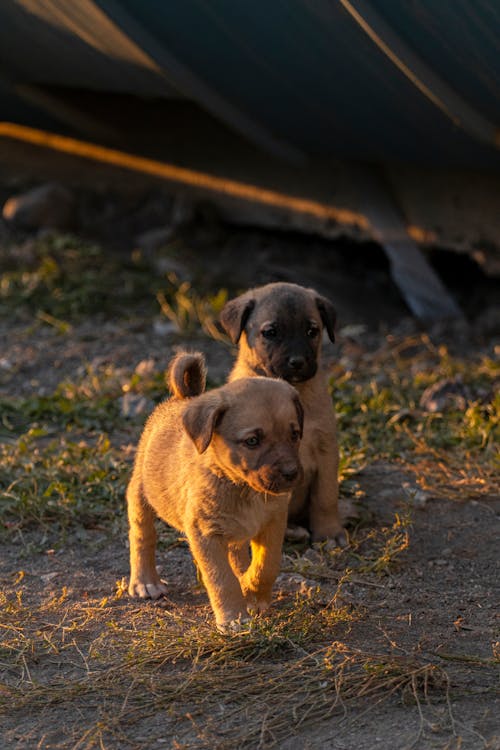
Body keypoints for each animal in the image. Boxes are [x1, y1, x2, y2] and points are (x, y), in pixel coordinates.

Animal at [127, 354, 302, 636]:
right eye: (252, 441)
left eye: (294, 434)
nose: (291, 473)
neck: (241, 487)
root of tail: (183, 398)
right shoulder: (205, 533)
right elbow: (222, 579)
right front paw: (234, 617)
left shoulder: (274, 522)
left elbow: (267, 565)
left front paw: (252, 592)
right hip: (141, 493)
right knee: (142, 536)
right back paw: (145, 581)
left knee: (237, 553)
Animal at [221, 282, 346, 548]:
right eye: (270, 332)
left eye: (312, 331)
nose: (297, 362)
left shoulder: (326, 450)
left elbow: (326, 497)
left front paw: (329, 532)